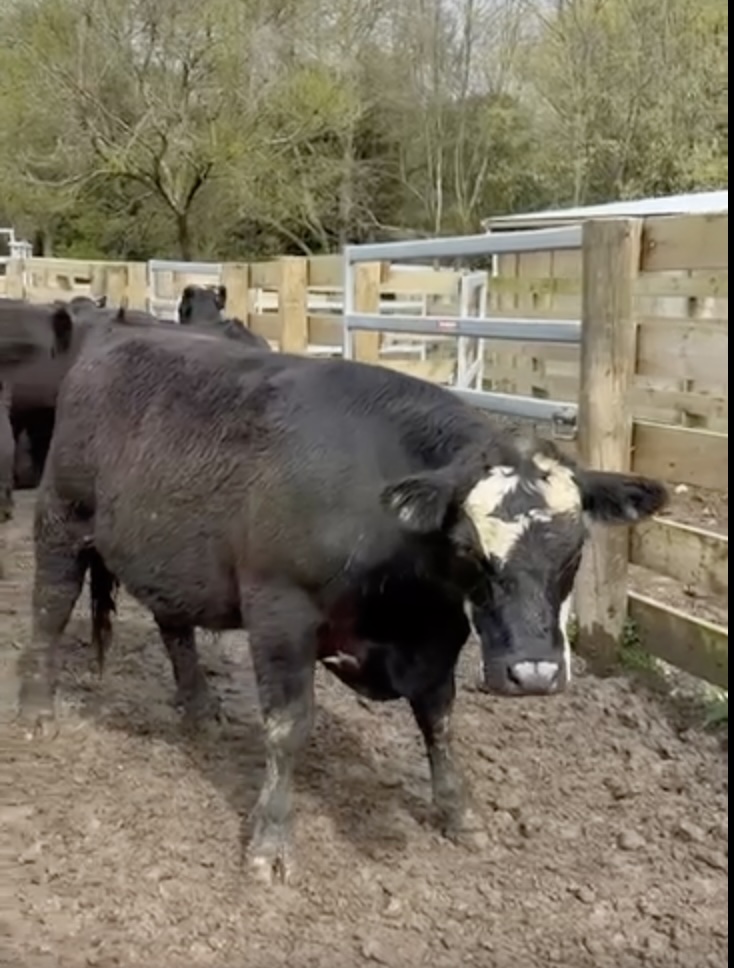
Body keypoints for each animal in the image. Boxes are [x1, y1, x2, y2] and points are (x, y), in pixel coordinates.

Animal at [17, 332, 667, 885]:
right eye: (467, 546)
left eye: (575, 547)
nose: (533, 672)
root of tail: (114, 338)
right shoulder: (279, 609)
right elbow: (288, 728)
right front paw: (270, 844)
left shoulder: (440, 634)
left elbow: (440, 721)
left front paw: (460, 814)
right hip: (61, 519)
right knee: (49, 608)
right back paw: (36, 711)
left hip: (171, 556)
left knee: (173, 624)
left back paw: (199, 710)